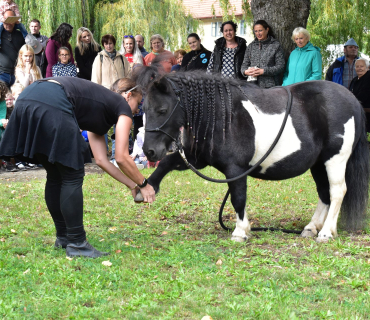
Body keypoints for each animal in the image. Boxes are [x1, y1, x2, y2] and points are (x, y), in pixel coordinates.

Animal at [137, 69, 368, 241]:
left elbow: (238, 198)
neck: (224, 115)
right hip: (318, 163)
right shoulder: (197, 159)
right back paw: (311, 228)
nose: (149, 151)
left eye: (162, 110)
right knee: (324, 192)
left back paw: (326, 232)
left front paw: (240, 231)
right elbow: (167, 162)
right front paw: (147, 188)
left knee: (337, 191)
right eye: (145, 109)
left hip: (335, 159)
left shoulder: (235, 168)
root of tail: (352, 99)